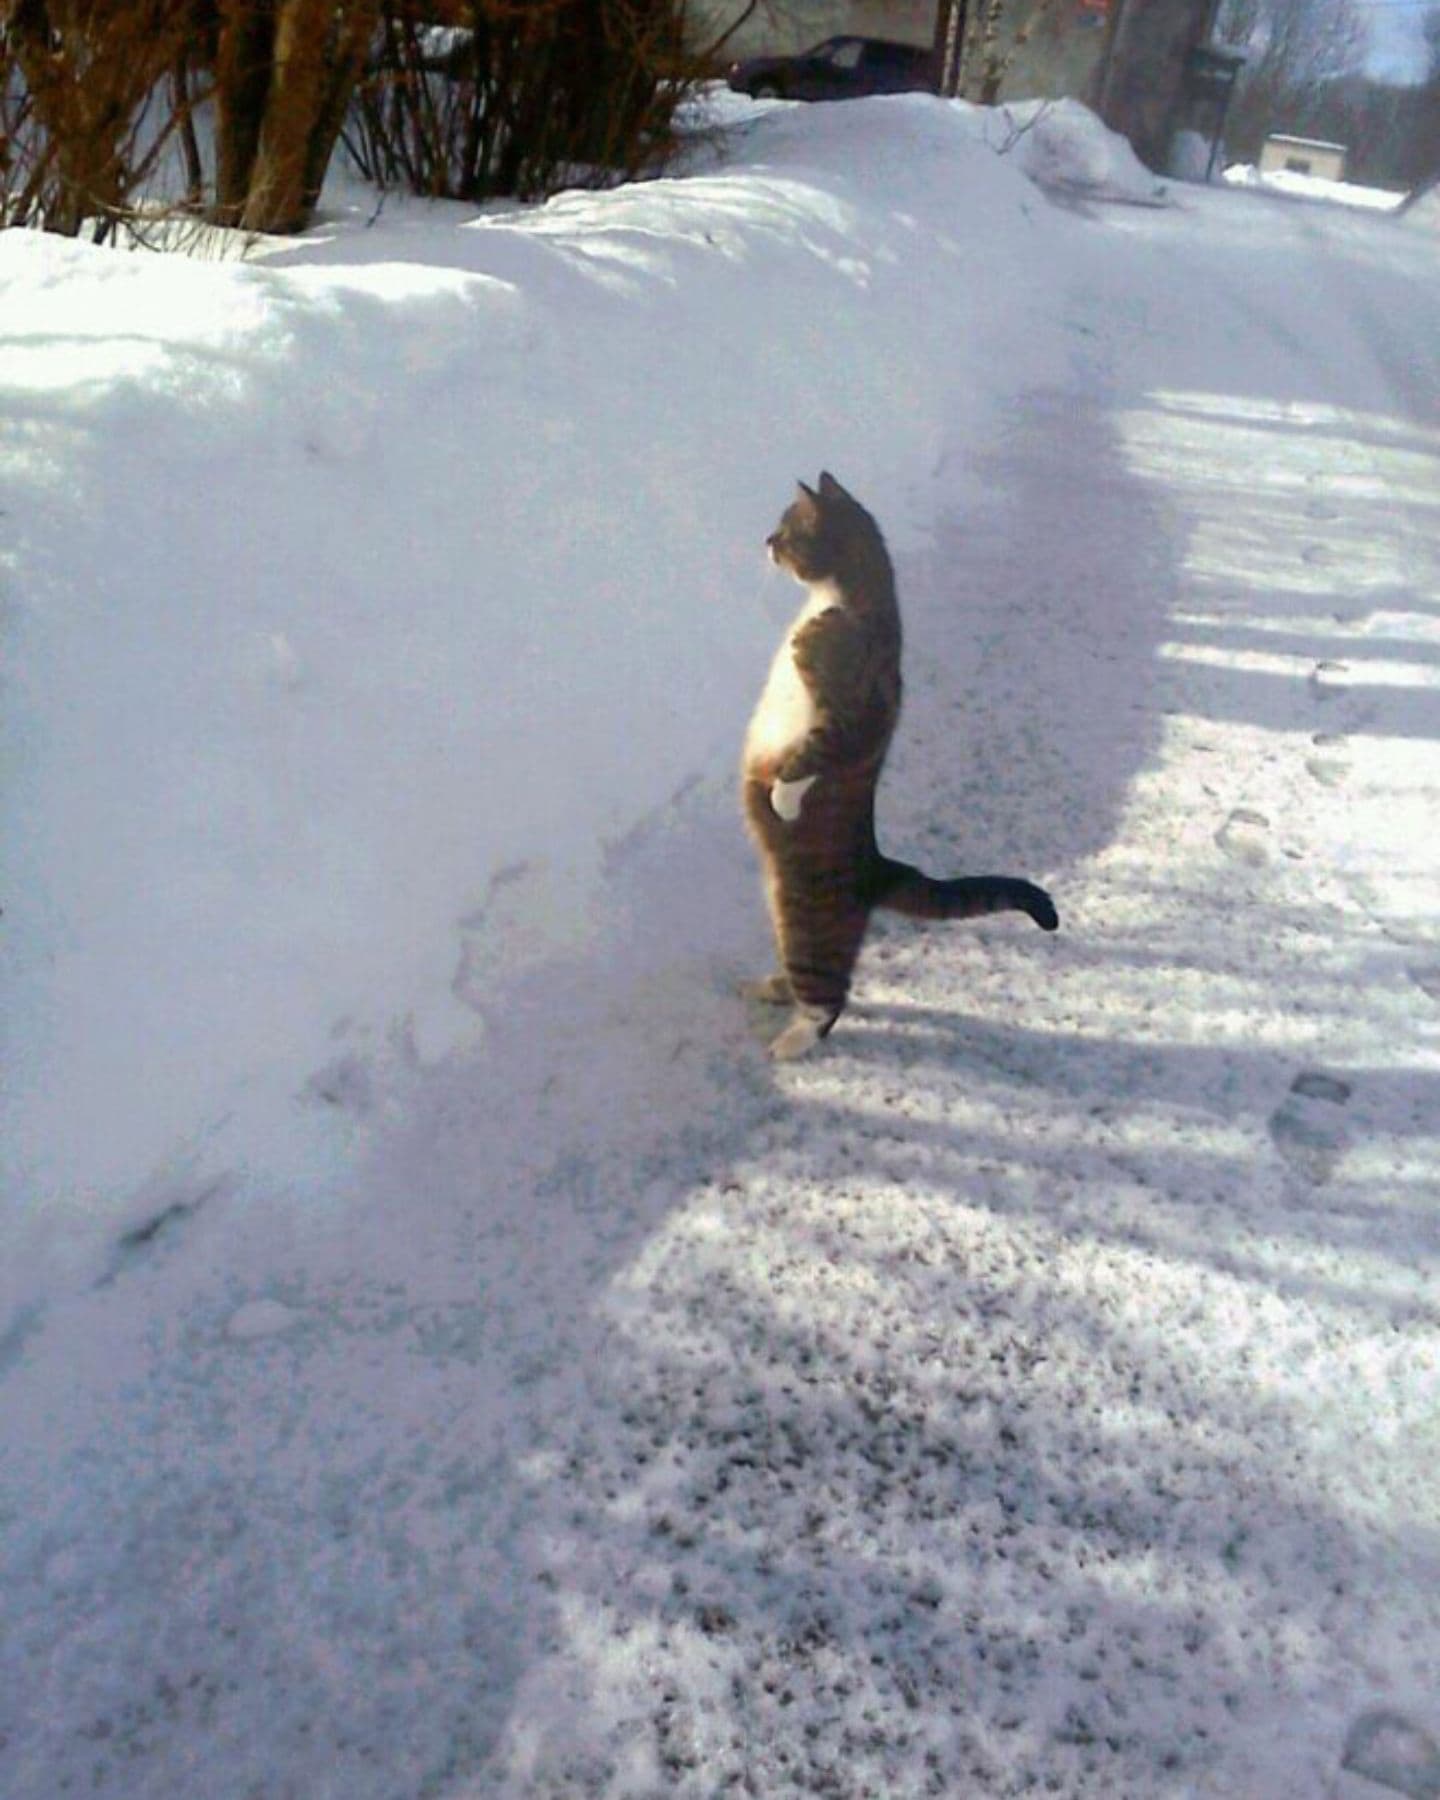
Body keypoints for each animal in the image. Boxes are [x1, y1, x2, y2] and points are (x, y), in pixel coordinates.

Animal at [741, 471, 1058, 1058]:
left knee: (829, 998)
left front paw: (783, 797)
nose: (765, 540)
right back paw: (770, 987)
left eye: (786, 531)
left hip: (806, 926)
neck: (841, 604)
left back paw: (793, 1040)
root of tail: (878, 866)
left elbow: (813, 754)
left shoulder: (851, 713)